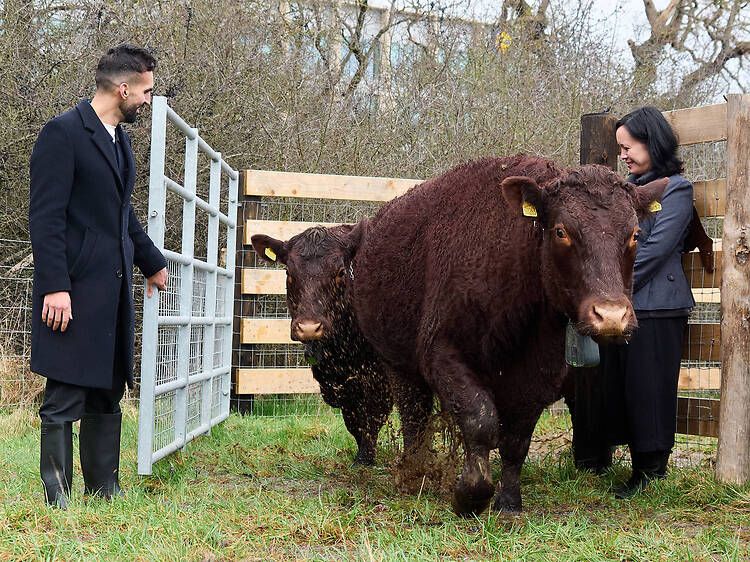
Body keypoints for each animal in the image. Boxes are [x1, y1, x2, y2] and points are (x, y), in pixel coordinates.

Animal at [342, 154, 668, 516]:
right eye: (561, 231)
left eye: (635, 234)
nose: (611, 316)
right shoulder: (441, 353)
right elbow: (479, 420)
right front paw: (471, 493)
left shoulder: (540, 375)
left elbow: (516, 441)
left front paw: (509, 501)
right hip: (397, 362)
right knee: (414, 416)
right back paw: (415, 473)